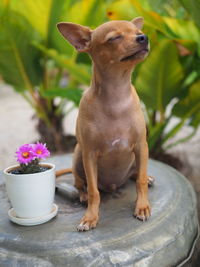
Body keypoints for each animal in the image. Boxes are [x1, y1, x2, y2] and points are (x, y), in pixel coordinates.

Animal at [57, 17, 151, 231]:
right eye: (114, 38)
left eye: (137, 32)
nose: (143, 37)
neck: (116, 97)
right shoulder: (89, 154)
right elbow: (94, 191)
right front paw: (90, 217)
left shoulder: (141, 146)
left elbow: (140, 181)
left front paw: (142, 207)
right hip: (78, 154)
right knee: (78, 182)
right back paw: (82, 195)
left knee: (137, 173)